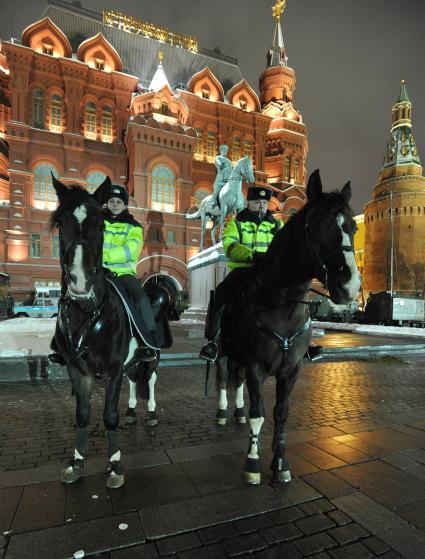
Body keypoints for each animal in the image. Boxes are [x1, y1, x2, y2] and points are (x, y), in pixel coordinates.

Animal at [50, 176, 160, 490]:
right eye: (60, 222)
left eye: (101, 224)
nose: (79, 281)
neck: (86, 313)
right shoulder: (78, 371)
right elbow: (83, 415)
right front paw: (76, 463)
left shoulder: (112, 371)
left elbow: (110, 417)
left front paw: (115, 466)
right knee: (135, 380)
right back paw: (133, 412)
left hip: (151, 359)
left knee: (150, 379)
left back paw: (150, 414)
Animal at [220, 171, 360, 486]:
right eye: (315, 225)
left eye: (353, 227)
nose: (350, 286)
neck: (282, 309)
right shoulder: (256, 367)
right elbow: (259, 414)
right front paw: (253, 464)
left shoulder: (292, 369)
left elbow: (281, 414)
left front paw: (281, 462)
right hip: (221, 351)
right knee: (224, 378)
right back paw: (223, 412)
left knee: (235, 380)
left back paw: (237, 412)